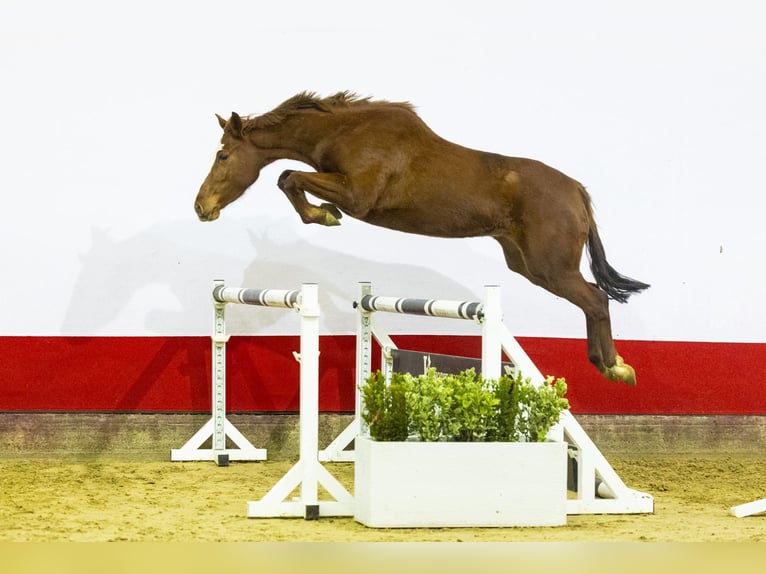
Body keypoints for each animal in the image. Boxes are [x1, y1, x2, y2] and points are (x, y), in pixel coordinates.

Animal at [195, 91, 652, 388]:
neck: (345, 131)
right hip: (526, 264)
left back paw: (615, 368)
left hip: (550, 267)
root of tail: (576, 189)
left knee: (596, 299)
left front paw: (322, 215)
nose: (202, 207)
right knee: (592, 299)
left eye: (223, 156)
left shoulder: (357, 196)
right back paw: (613, 364)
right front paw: (322, 214)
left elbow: (289, 177)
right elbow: (288, 177)